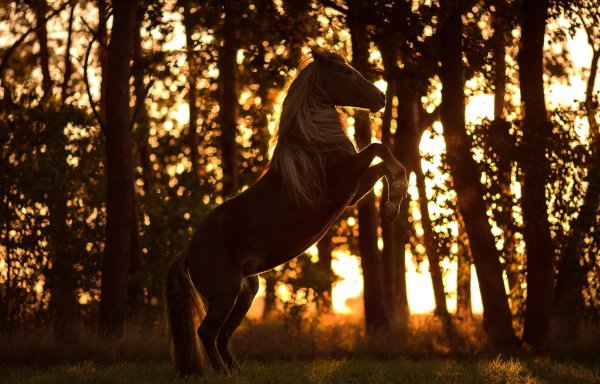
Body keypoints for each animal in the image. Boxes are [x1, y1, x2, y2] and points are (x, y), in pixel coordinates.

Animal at [165, 49, 408, 376]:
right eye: (345, 72)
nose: (380, 97)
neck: (313, 147)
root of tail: (188, 253)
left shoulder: (353, 191)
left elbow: (382, 163)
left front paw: (394, 203)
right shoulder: (345, 181)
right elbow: (378, 148)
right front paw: (395, 200)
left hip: (245, 293)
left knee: (222, 335)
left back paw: (237, 373)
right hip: (225, 295)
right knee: (207, 332)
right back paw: (223, 374)